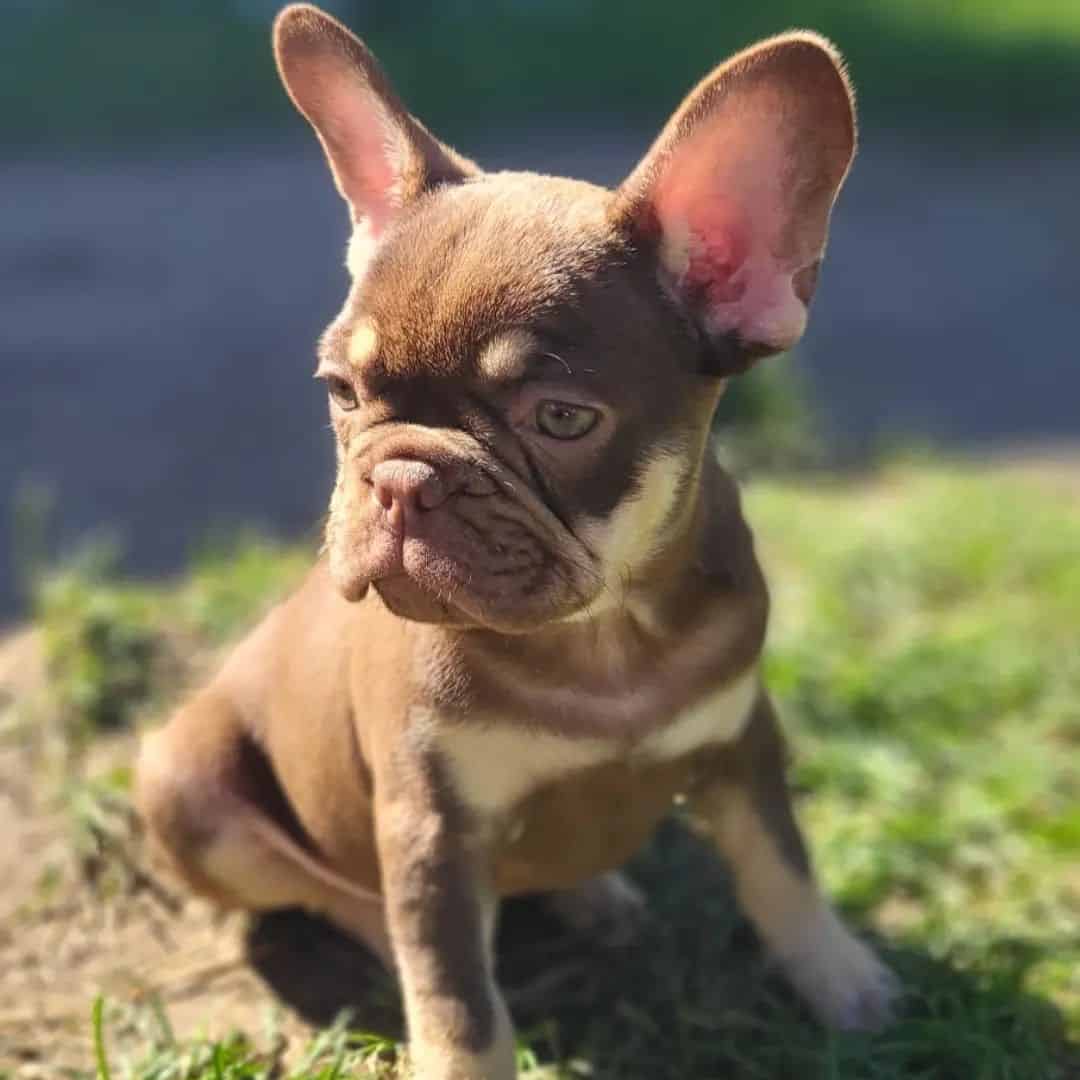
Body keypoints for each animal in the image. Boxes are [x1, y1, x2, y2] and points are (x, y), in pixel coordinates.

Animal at [135, 4, 894, 1075]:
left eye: (562, 419)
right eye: (340, 393)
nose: (400, 477)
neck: (603, 639)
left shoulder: (744, 741)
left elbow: (784, 867)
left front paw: (841, 977)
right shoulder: (430, 830)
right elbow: (458, 1001)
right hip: (186, 789)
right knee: (329, 894)